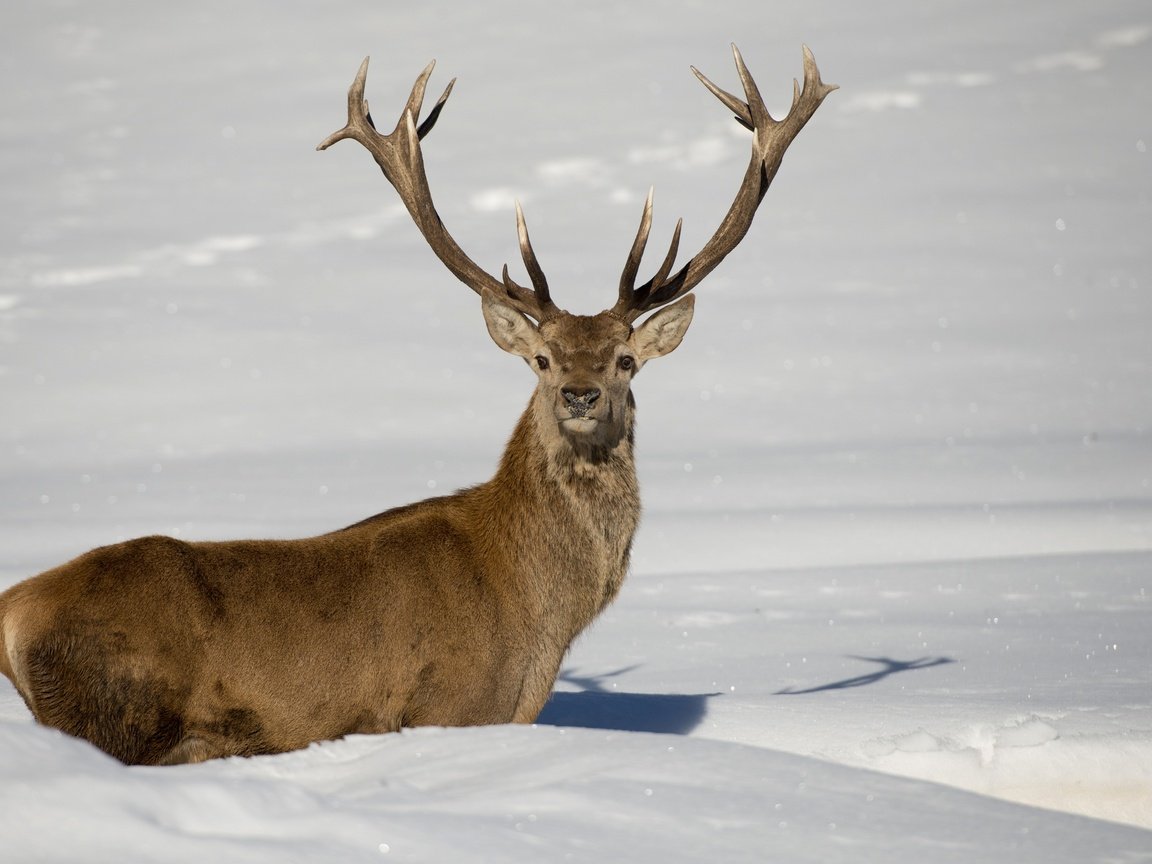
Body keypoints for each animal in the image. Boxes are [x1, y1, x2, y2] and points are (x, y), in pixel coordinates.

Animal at [0, 45, 834, 764]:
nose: (580, 392)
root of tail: (12, 612)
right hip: (115, 714)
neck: (537, 615)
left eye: (626, 360)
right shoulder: (447, 708)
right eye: (541, 359)